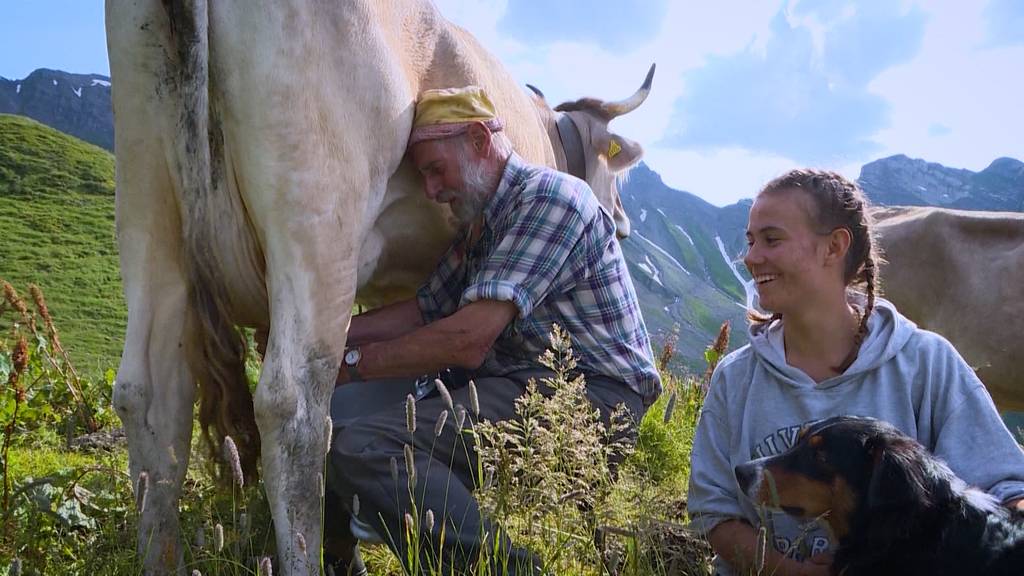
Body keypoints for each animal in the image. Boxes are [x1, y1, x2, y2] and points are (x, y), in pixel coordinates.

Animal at [105, 2, 655, 569]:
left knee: (147, 398)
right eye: (619, 169)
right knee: (292, 409)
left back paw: (165, 558)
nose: (621, 221)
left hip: (148, 202)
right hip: (318, 213)